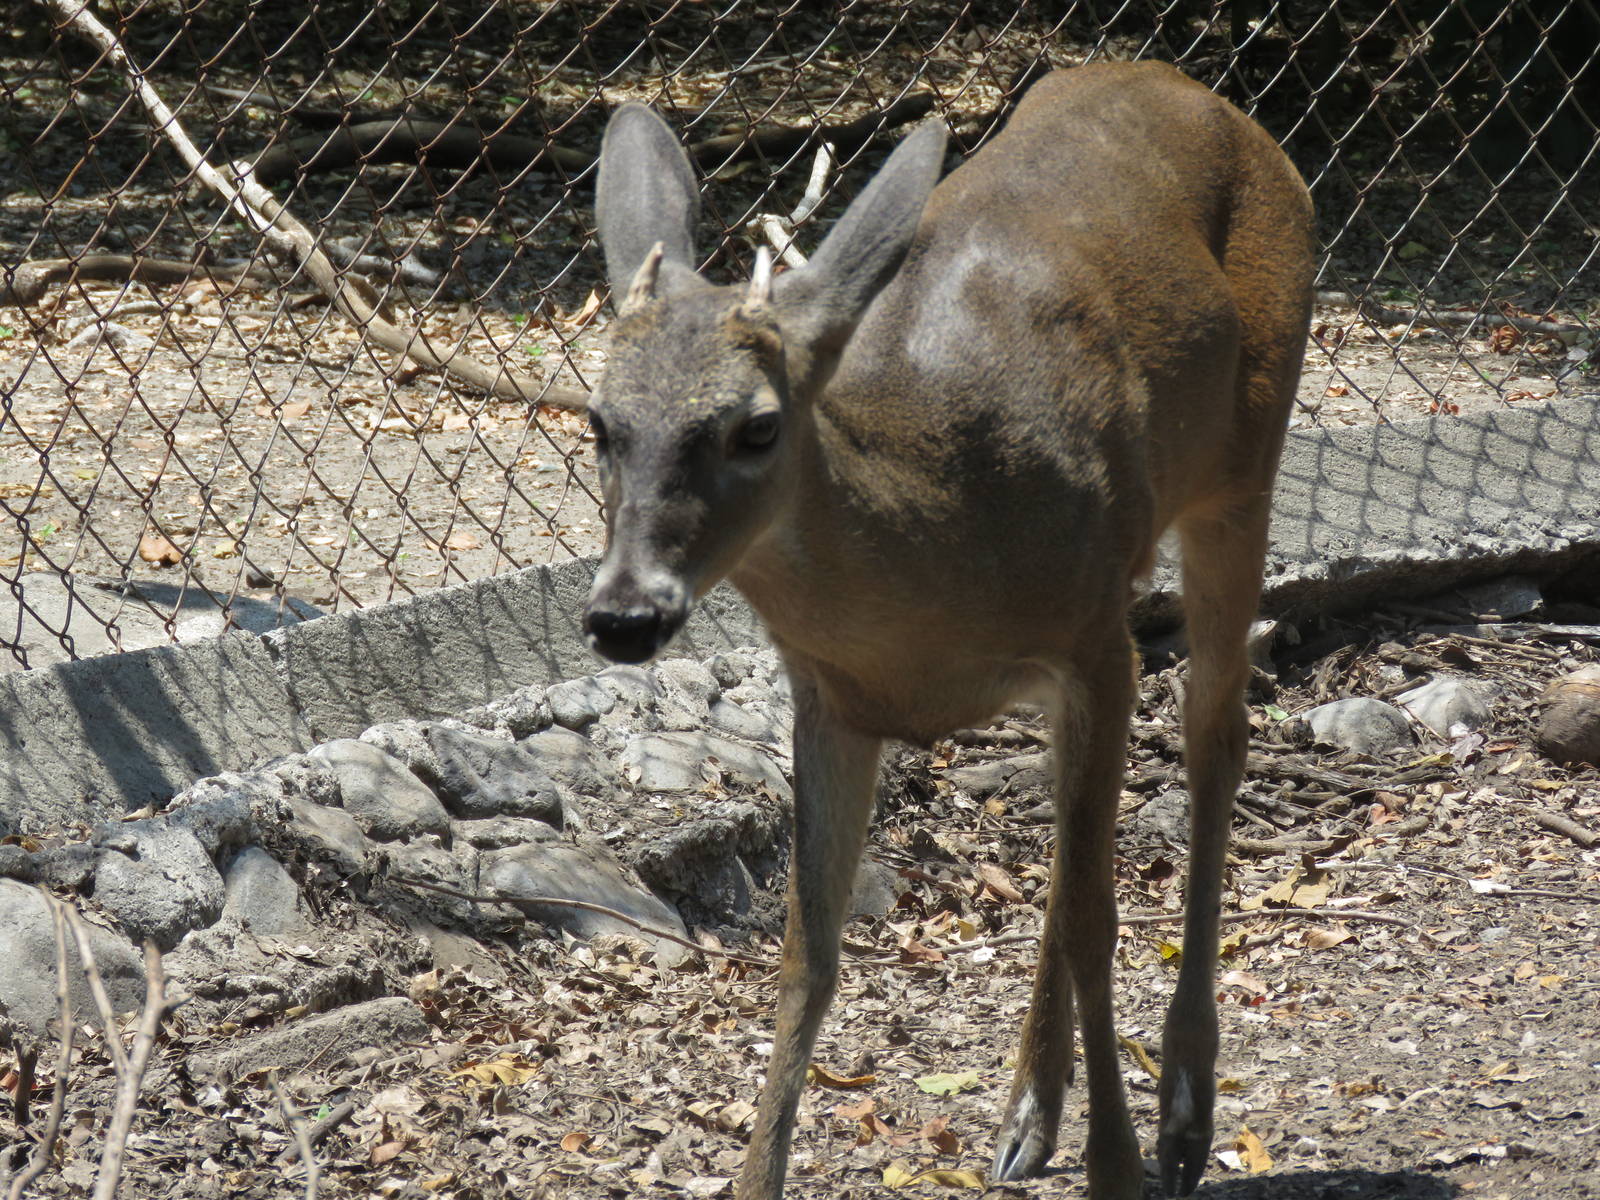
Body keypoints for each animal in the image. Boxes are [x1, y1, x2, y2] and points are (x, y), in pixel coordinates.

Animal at [581, 61, 1314, 1200]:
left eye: (757, 426)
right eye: (596, 421)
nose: (623, 613)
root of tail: (1201, 93)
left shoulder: (1095, 637)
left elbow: (1099, 920)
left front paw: (1119, 1164)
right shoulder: (830, 700)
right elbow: (809, 955)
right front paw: (756, 1177)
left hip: (1244, 463)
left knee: (1213, 740)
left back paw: (1184, 1116)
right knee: (1075, 835)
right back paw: (1027, 1116)